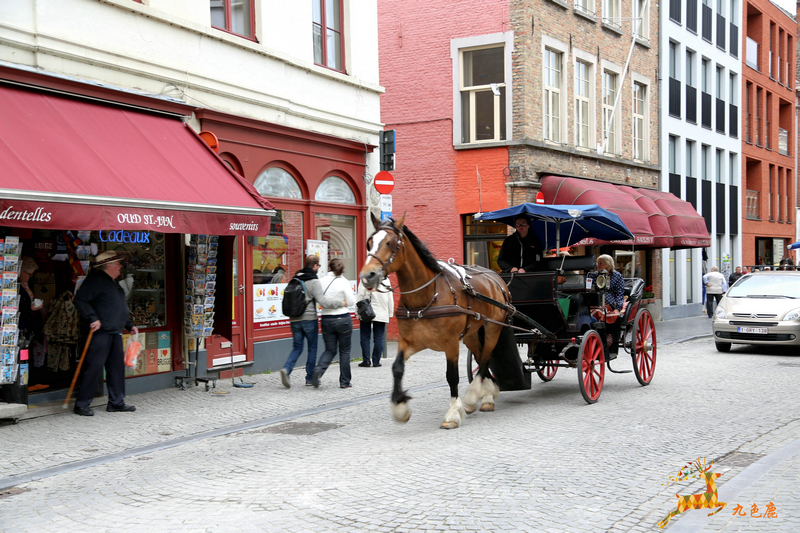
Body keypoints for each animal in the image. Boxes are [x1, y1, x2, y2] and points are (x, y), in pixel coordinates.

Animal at [360, 212, 512, 428]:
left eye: (390, 242)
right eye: (369, 242)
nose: (367, 275)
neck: (426, 297)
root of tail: (496, 278)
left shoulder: (451, 343)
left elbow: (452, 375)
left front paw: (453, 413)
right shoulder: (409, 342)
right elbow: (397, 368)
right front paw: (400, 407)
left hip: (493, 327)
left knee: (485, 358)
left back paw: (473, 396)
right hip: (471, 334)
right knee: (482, 356)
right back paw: (486, 397)